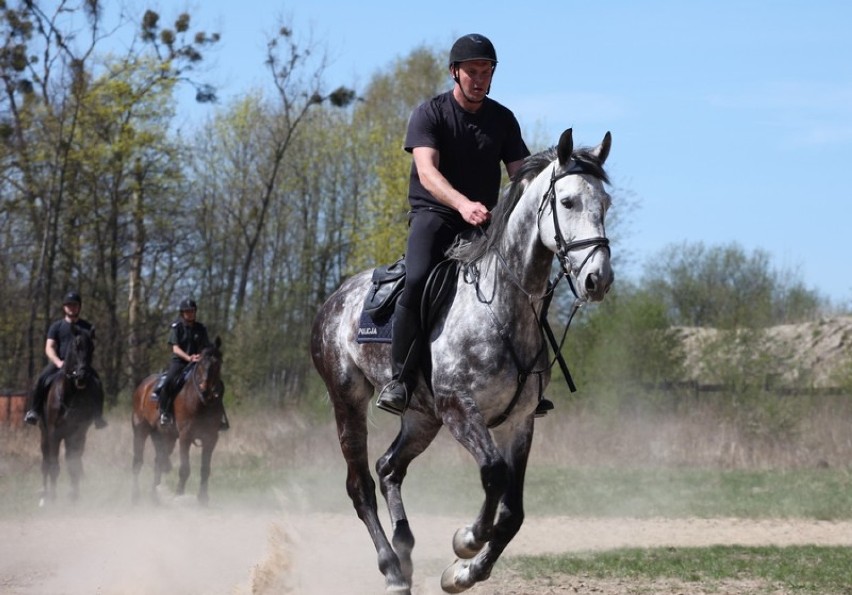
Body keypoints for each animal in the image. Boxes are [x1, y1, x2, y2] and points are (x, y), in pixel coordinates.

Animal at [38, 324, 99, 506]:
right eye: (76, 346)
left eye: (92, 347)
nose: (82, 376)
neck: (70, 394)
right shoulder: (54, 434)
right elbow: (53, 465)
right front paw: (52, 497)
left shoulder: (78, 434)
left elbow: (74, 464)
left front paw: (74, 495)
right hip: (44, 434)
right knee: (45, 461)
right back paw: (44, 493)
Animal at [131, 338, 225, 506]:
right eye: (201, 362)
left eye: (218, 363)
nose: (205, 389)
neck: (200, 401)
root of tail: (142, 386)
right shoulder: (185, 437)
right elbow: (185, 468)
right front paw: (179, 494)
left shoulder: (211, 438)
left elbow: (205, 469)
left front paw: (203, 498)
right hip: (140, 430)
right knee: (138, 461)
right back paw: (135, 496)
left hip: (166, 438)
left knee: (158, 461)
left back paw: (154, 496)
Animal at [312, 128, 612, 592]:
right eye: (568, 202)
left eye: (605, 204)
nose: (598, 279)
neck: (501, 308)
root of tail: (333, 301)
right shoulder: (460, 410)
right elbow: (493, 474)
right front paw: (466, 541)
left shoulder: (518, 422)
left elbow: (512, 513)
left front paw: (463, 573)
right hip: (349, 402)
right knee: (360, 485)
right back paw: (392, 568)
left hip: (422, 419)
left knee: (388, 468)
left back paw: (405, 548)